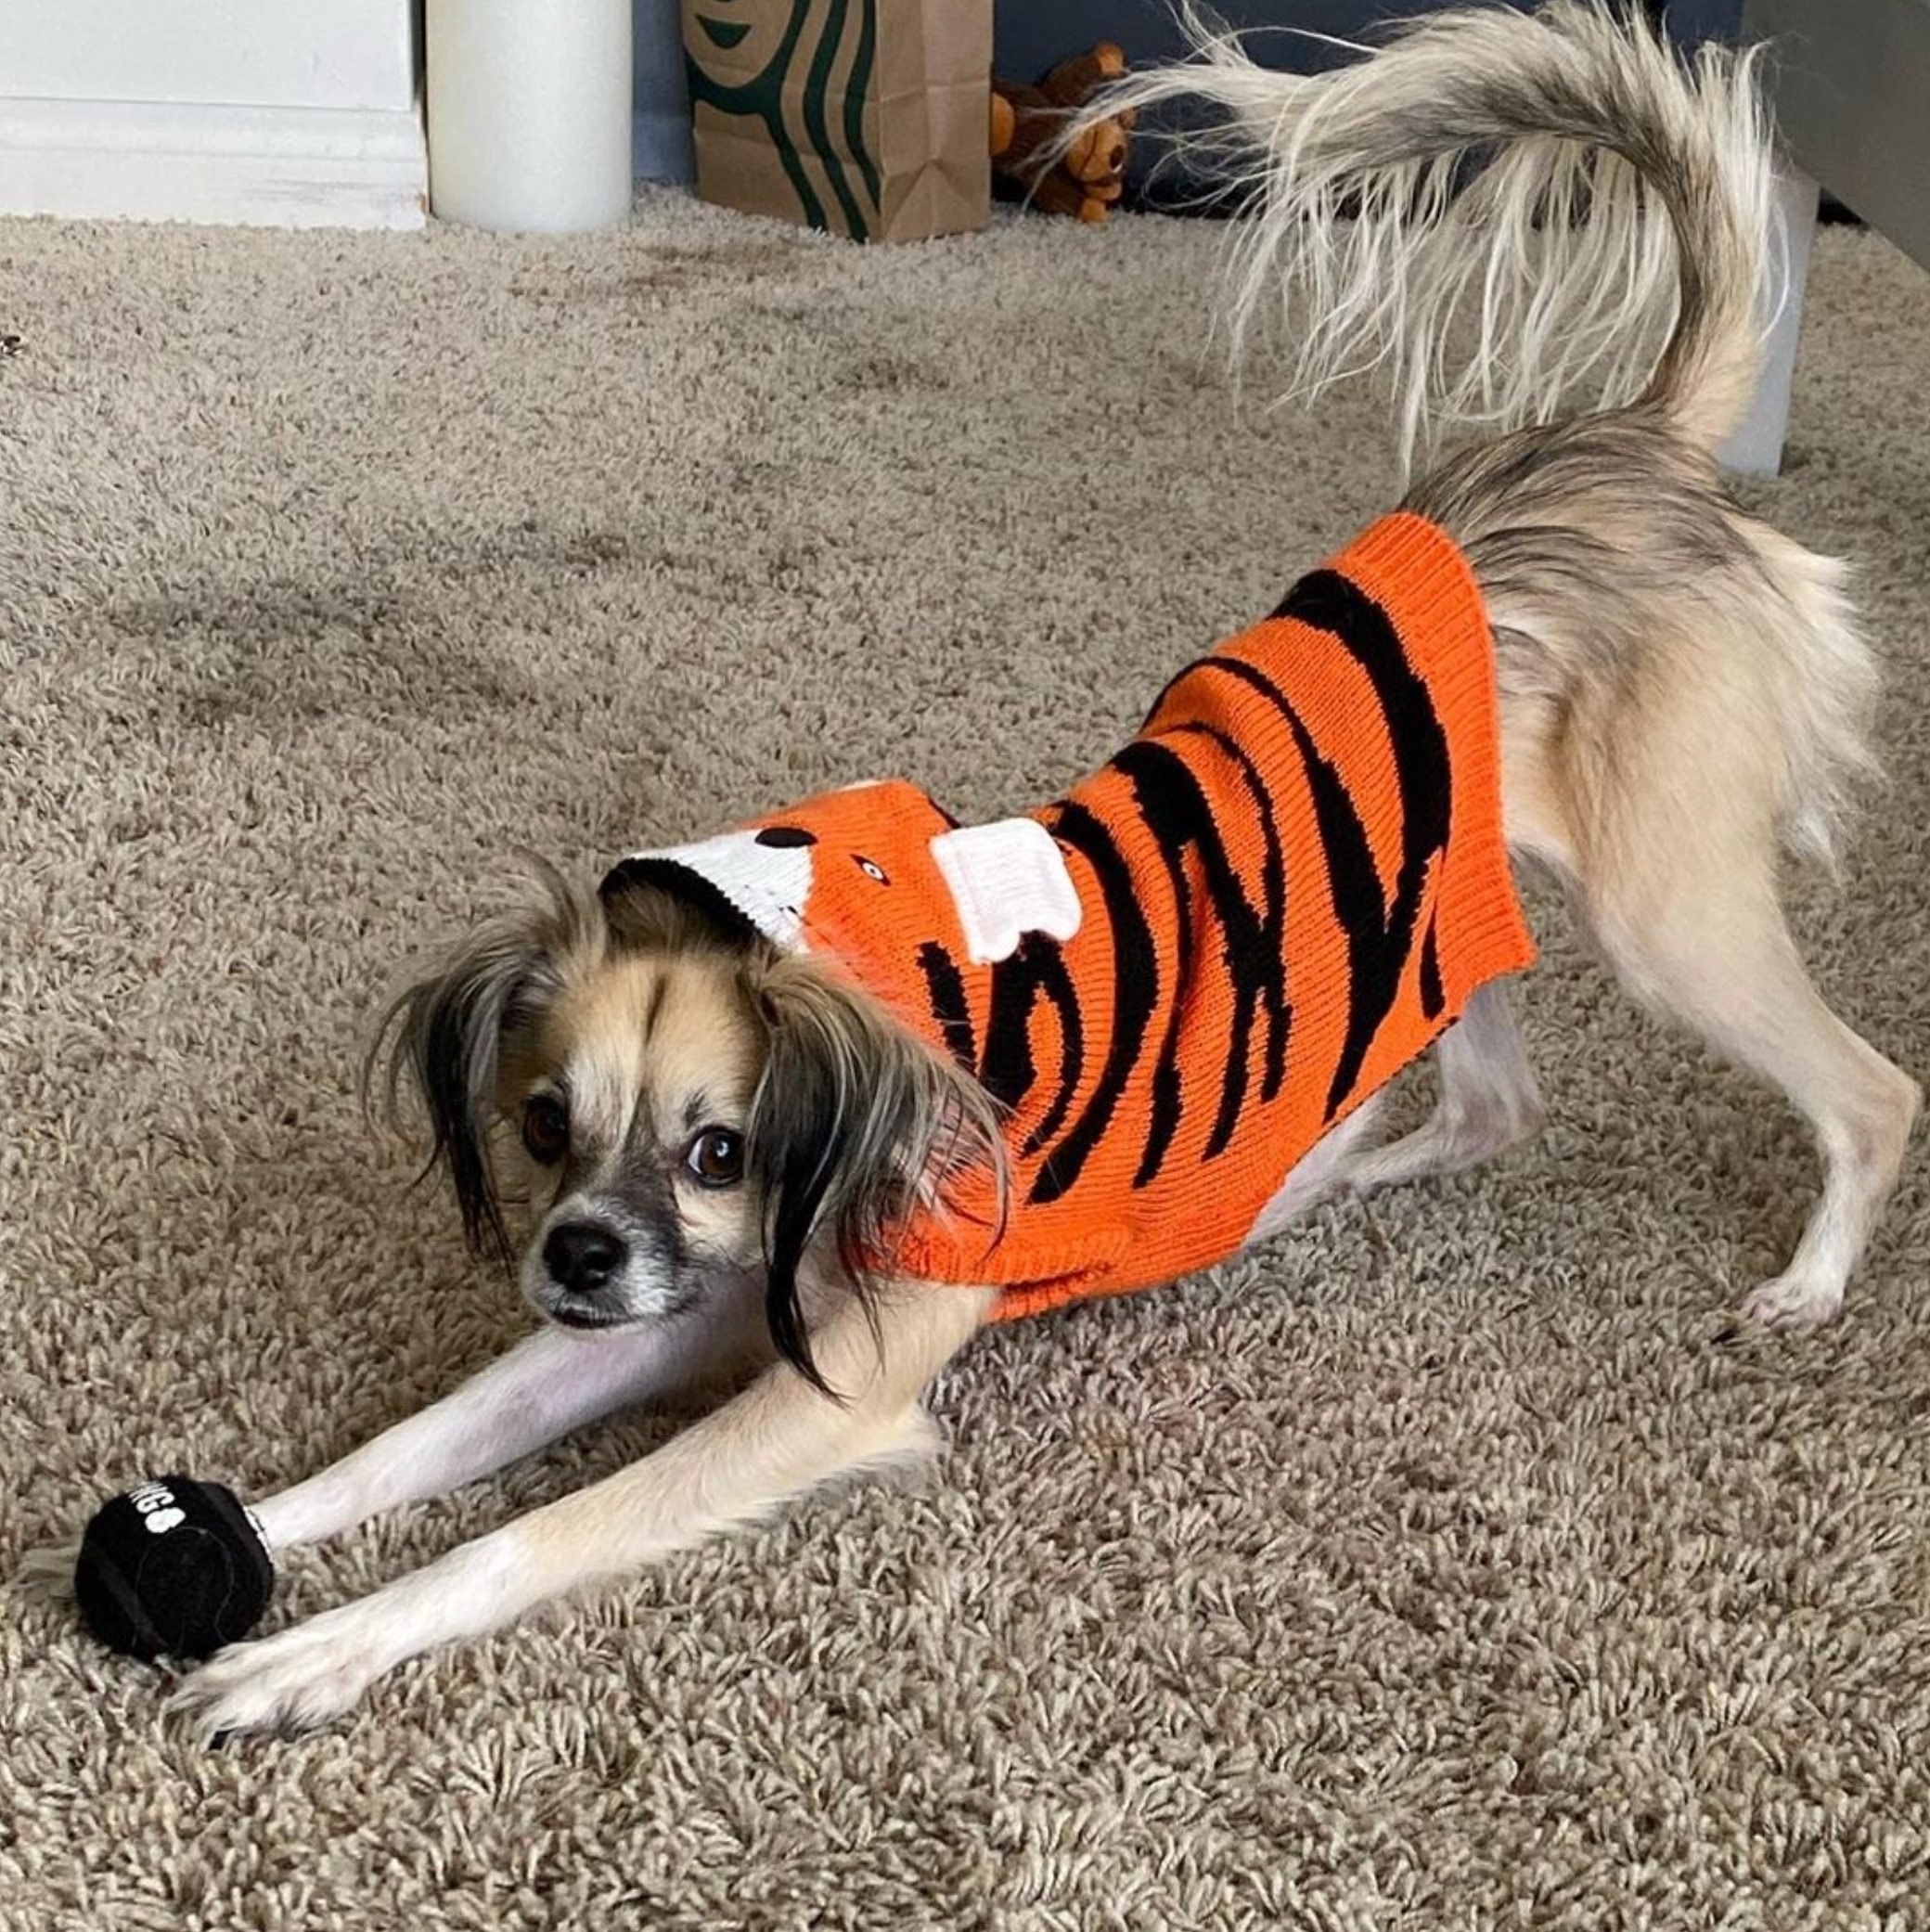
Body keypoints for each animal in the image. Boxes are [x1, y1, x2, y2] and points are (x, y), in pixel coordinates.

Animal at [88, 3, 1916, 1735]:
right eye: (545, 1122)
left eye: (722, 1146)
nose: (577, 1257)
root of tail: (1638, 454)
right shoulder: (656, 1317)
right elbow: (412, 1446)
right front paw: (230, 1524)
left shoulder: (827, 1383)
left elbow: (519, 1534)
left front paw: (309, 1654)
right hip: (1442, 913)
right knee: (1486, 1104)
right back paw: (1310, 1180)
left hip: (1667, 916)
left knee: (1869, 1092)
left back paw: (1808, 1282)